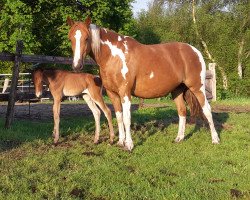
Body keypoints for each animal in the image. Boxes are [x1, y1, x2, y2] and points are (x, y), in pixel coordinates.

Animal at [66, 16, 219, 150]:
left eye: (87, 38)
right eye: (70, 38)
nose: (77, 66)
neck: (114, 56)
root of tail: (195, 51)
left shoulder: (125, 93)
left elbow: (127, 118)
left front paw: (129, 145)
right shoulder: (112, 94)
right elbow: (119, 117)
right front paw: (120, 142)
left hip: (197, 87)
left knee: (207, 110)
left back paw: (215, 139)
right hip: (177, 90)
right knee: (182, 111)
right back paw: (179, 138)